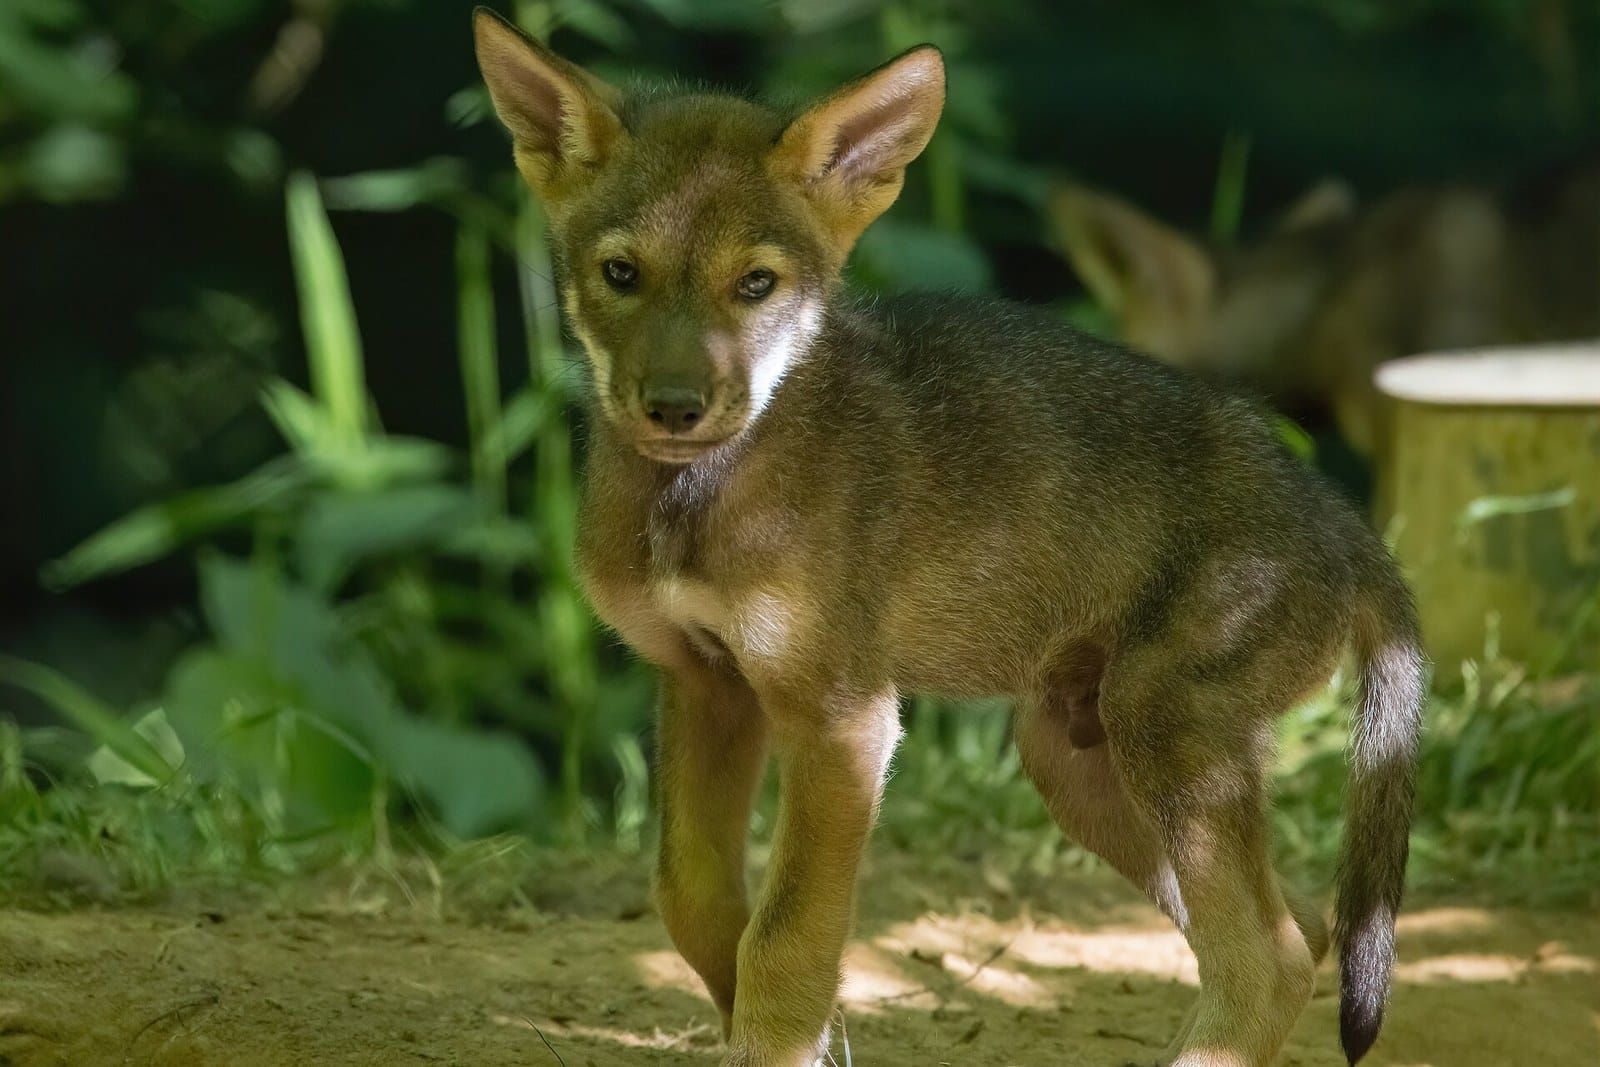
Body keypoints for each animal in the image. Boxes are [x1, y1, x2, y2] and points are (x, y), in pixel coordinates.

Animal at [474, 10, 1426, 1066]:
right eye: (621, 274)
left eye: (756, 284)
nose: (675, 407)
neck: (691, 506)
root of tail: (1343, 522)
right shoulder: (705, 681)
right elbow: (699, 905)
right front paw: (815, 1036)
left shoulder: (844, 719)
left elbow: (784, 940)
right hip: (1079, 761)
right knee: (1302, 931)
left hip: (1163, 742)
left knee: (1271, 958)